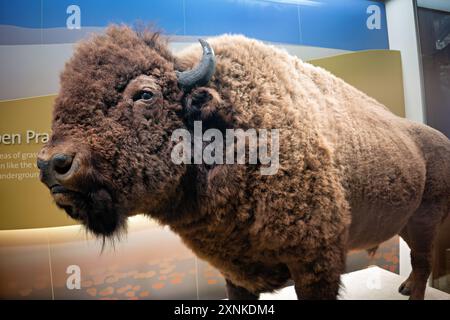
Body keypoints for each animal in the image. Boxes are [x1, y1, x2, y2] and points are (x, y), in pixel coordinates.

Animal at [37, 25, 450, 300]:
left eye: (145, 94)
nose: (52, 164)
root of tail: (439, 140)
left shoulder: (317, 263)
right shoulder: (234, 271)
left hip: (424, 220)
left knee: (422, 260)